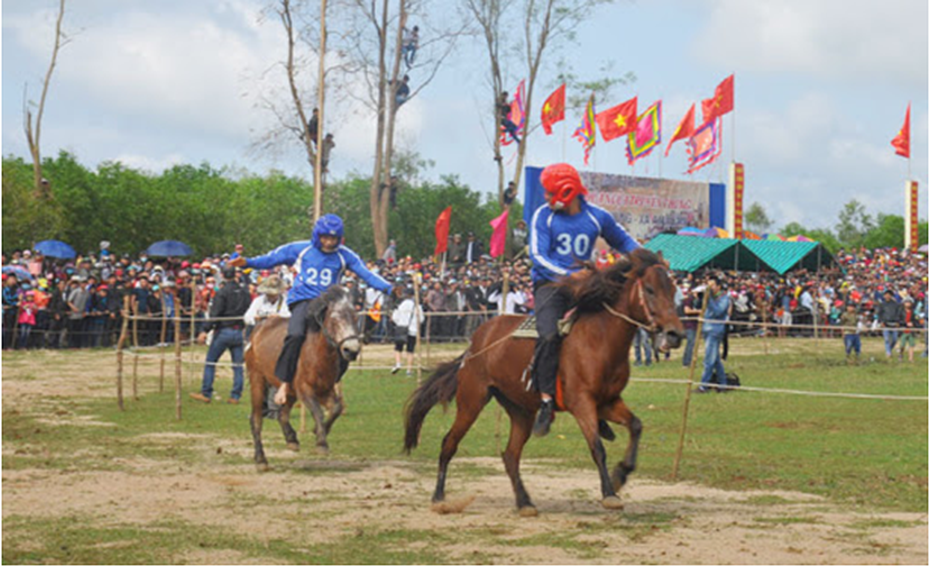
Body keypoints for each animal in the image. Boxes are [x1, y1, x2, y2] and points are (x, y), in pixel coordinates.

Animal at [245, 288, 360, 470]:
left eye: (355, 317)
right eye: (335, 318)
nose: (352, 350)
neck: (317, 353)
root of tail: (258, 329)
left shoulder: (325, 390)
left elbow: (336, 408)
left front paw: (319, 431)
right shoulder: (305, 389)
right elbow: (318, 412)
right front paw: (321, 443)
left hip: (289, 391)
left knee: (282, 414)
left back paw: (291, 439)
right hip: (257, 379)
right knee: (256, 419)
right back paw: (261, 459)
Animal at [400, 248, 680, 516]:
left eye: (673, 289)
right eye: (650, 289)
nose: (675, 334)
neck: (600, 339)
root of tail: (475, 344)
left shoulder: (608, 402)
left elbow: (636, 426)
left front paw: (621, 473)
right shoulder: (582, 403)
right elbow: (597, 447)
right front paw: (610, 494)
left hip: (520, 410)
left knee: (510, 455)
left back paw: (524, 502)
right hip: (471, 401)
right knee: (449, 443)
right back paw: (439, 498)